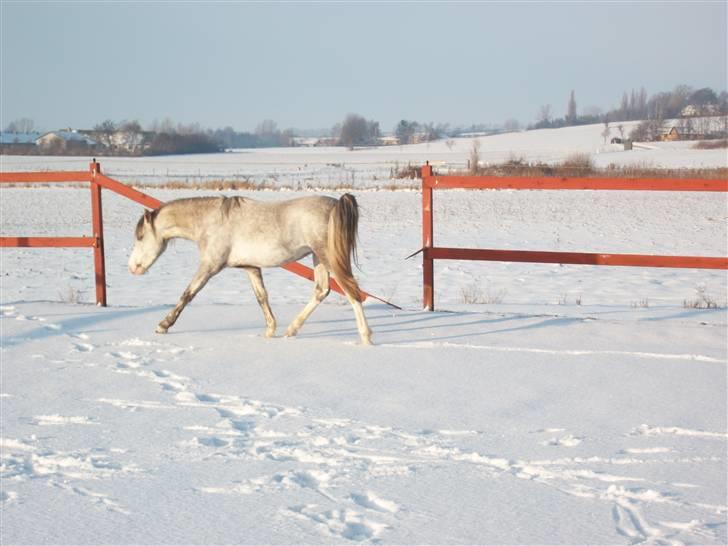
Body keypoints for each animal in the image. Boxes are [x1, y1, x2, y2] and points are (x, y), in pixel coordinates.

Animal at [128, 193, 372, 345]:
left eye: (139, 237)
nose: (132, 268)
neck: (211, 222)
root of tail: (336, 204)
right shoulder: (251, 267)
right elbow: (261, 297)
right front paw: (270, 331)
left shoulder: (210, 266)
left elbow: (187, 294)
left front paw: (163, 325)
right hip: (318, 258)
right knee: (322, 291)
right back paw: (291, 330)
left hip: (328, 257)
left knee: (352, 292)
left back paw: (366, 338)